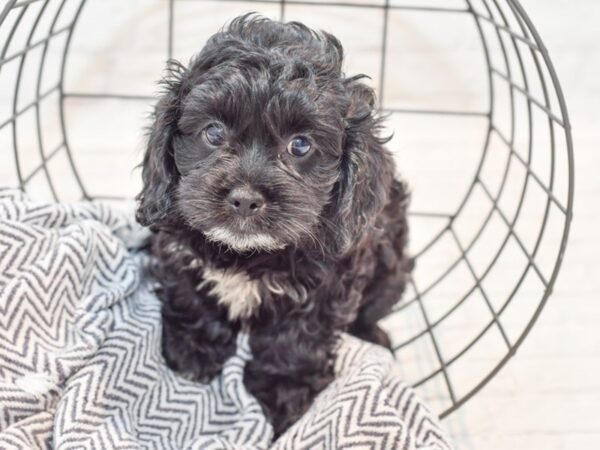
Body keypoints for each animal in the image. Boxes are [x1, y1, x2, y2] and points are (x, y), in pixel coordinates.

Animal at [136, 14, 410, 436]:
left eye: (300, 145)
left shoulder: (327, 285)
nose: (245, 198)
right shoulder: (177, 248)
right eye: (213, 132)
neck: (248, 254)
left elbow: (295, 341)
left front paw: (283, 393)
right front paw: (194, 350)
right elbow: (190, 295)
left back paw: (374, 336)